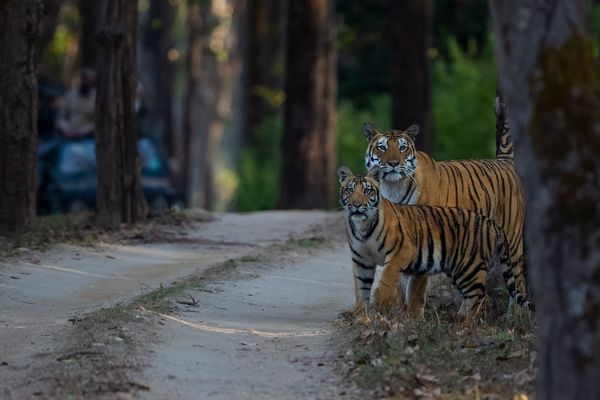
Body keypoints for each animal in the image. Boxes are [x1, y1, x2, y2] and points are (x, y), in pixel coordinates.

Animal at [340, 165, 532, 316]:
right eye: (350, 190)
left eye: (367, 190)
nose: (356, 205)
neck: (363, 226)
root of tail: (491, 223)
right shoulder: (362, 260)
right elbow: (361, 287)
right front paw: (360, 314)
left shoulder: (401, 251)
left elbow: (387, 278)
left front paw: (379, 304)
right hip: (460, 269)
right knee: (479, 295)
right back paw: (460, 319)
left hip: (469, 266)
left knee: (479, 294)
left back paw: (464, 322)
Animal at [360, 122, 524, 316]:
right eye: (382, 147)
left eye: (402, 148)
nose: (393, 163)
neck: (393, 187)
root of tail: (504, 161)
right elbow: (399, 280)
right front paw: (398, 314)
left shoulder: (423, 238)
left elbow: (415, 285)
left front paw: (413, 315)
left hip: (512, 243)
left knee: (517, 282)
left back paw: (514, 316)